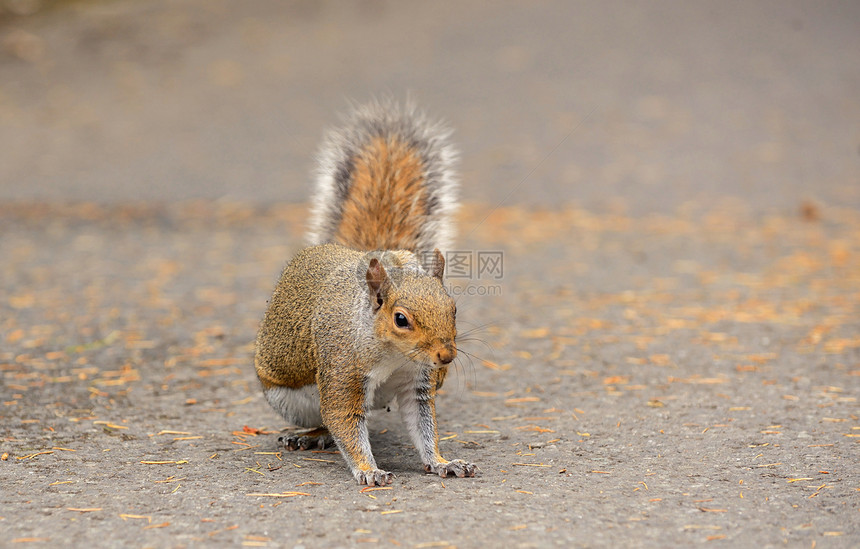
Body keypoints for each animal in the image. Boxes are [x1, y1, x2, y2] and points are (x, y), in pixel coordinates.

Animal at [255, 100, 480, 486]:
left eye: (453, 310)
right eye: (401, 319)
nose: (446, 356)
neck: (394, 355)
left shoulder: (419, 382)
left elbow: (423, 427)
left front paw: (442, 461)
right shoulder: (342, 369)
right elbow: (343, 418)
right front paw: (368, 469)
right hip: (290, 399)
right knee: (325, 419)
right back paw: (311, 436)